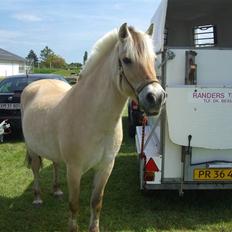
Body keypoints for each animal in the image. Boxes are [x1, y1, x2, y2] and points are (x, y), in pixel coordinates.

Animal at [21, 24, 166, 232]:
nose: (156, 98)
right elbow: (74, 204)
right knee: (35, 169)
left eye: (154, 59)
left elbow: (96, 202)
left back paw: (56, 190)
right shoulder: (74, 170)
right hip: (32, 149)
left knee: (55, 164)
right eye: (126, 60)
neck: (94, 119)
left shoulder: (105, 167)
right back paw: (37, 198)